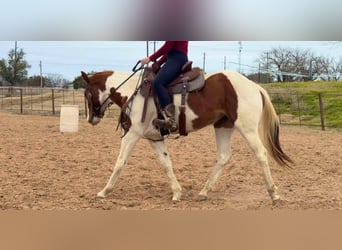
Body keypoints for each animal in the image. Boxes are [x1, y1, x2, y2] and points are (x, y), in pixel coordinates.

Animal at [81, 66, 292, 205]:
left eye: (87, 93)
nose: (91, 118)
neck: (134, 91)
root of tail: (255, 86)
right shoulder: (154, 138)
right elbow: (166, 164)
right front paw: (176, 193)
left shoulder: (132, 134)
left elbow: (120, 162)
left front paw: (104, 191)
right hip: (223, 126)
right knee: (224, 156)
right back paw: (204, 192)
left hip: (247, 129)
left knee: (261, 154)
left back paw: (273, 194)